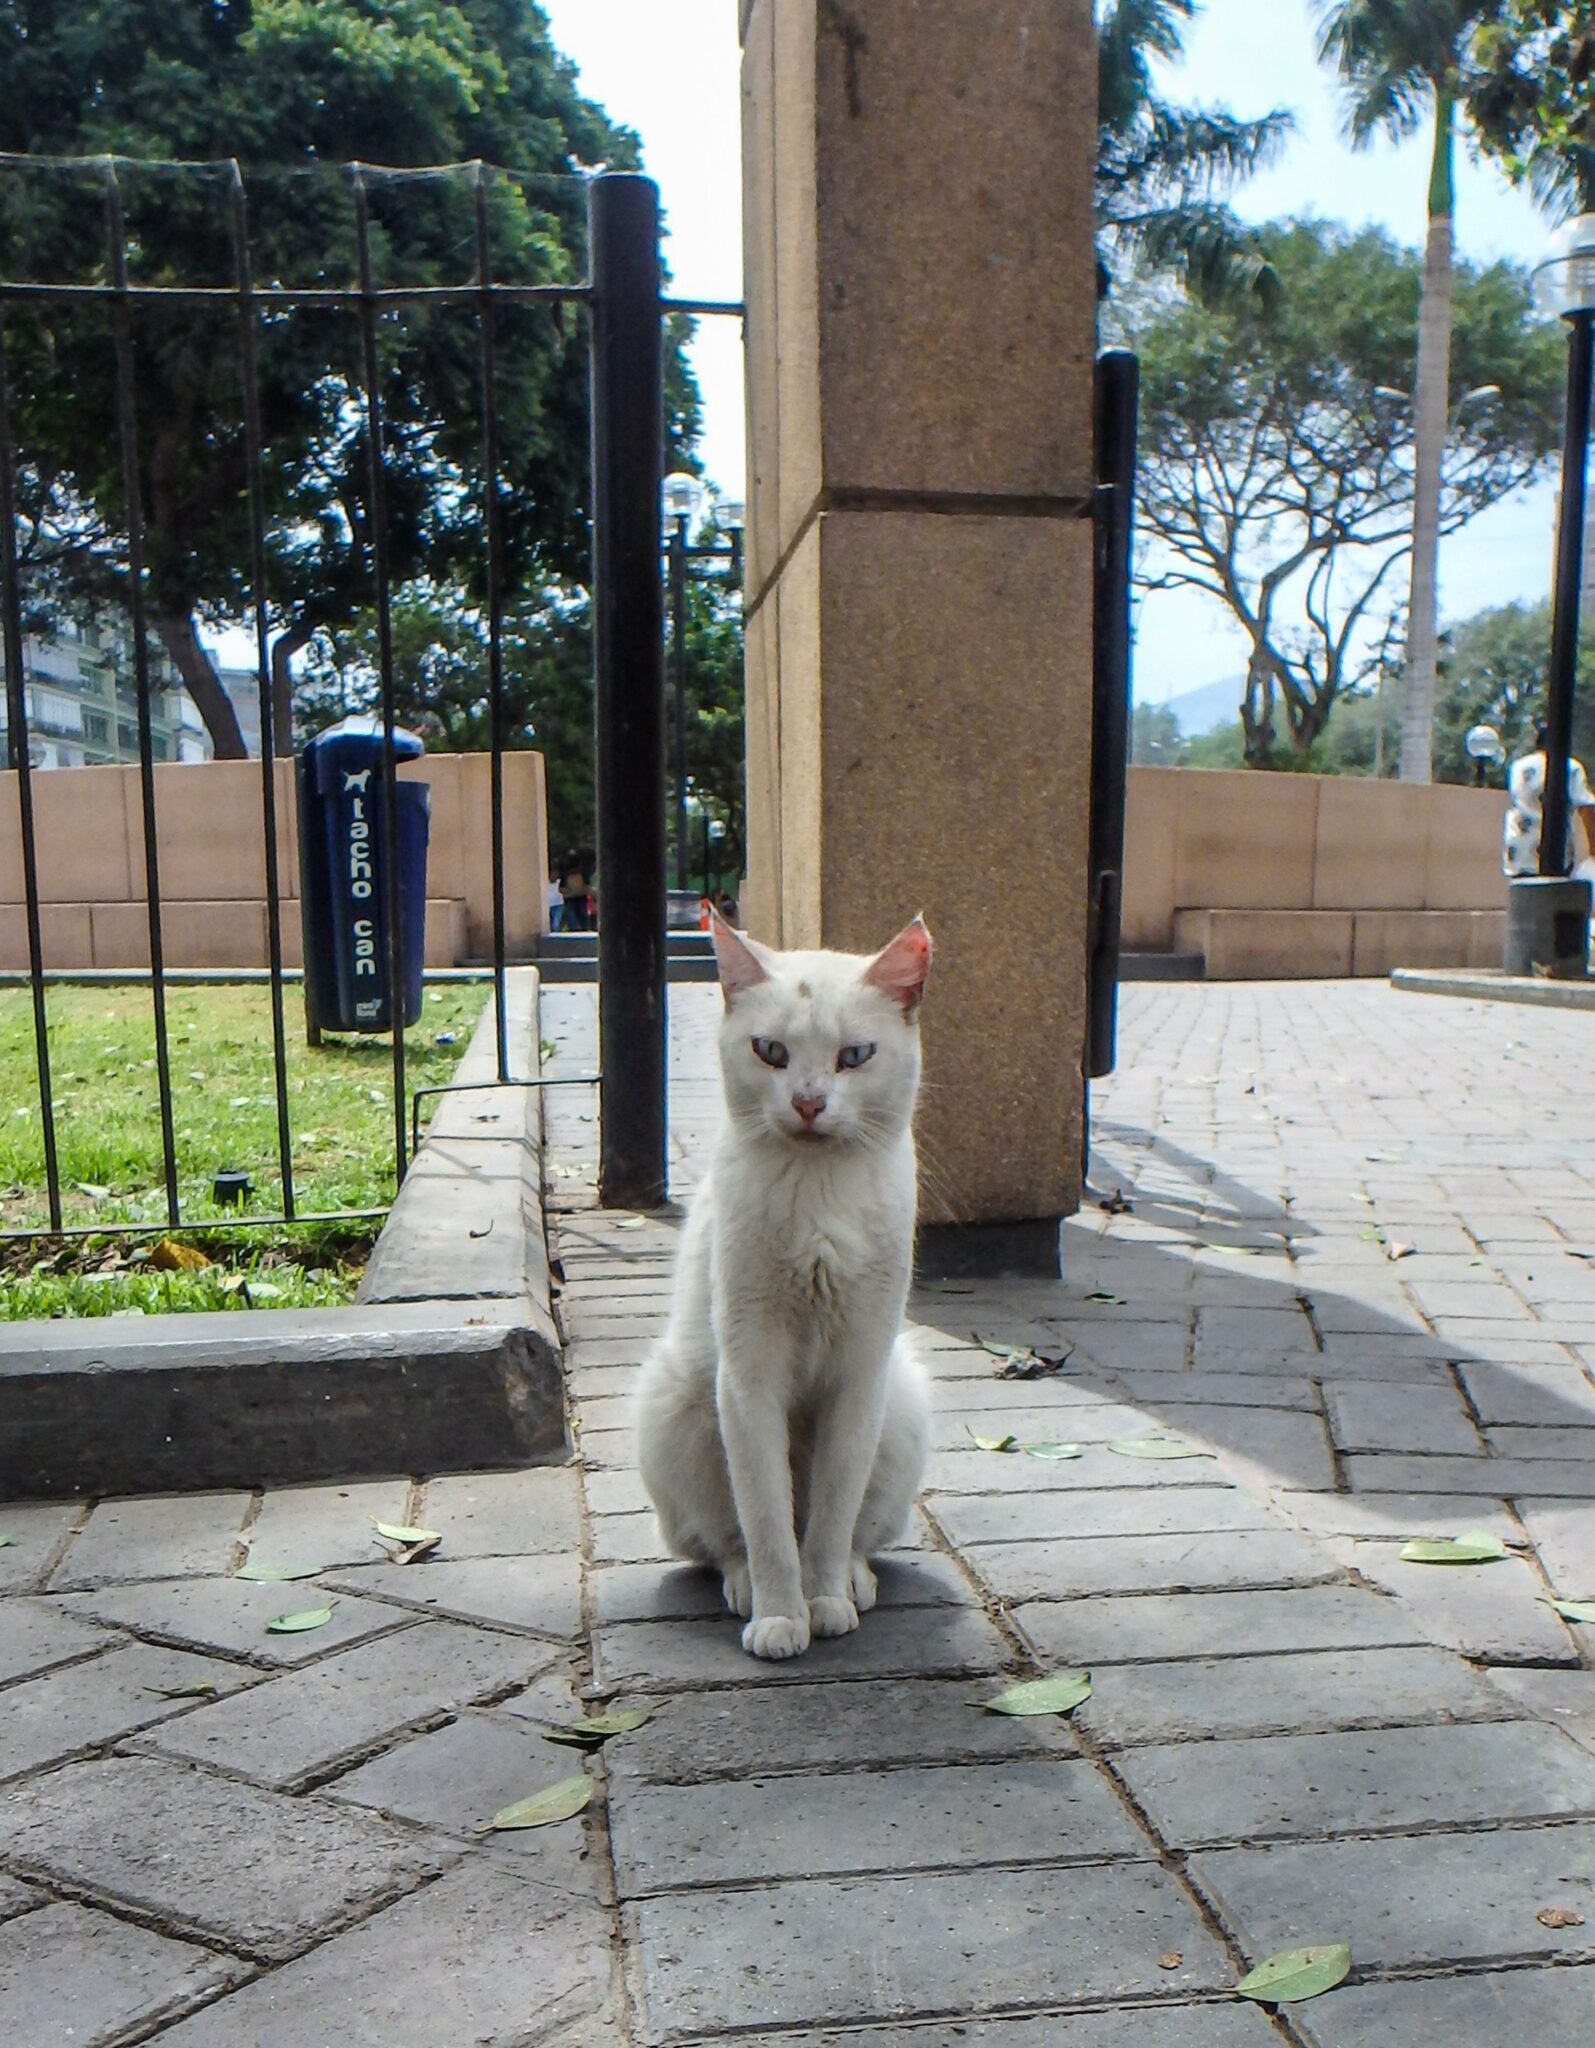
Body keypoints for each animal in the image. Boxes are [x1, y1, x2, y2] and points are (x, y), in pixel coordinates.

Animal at [634, 913, 937, 1662]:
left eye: (854, 1056)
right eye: (769, 1051)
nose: (806, 1102)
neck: (817, 1196)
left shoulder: (858, 1380)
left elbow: (829, 1518)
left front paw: (823, 1601)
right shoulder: (748, 1381)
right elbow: (768, 1519)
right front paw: (780, 1617)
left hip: (900, 1403)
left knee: (855, 1533)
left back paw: (850, 1583)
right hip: (677, 1406)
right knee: (725, 1541)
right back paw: (749, 1588)